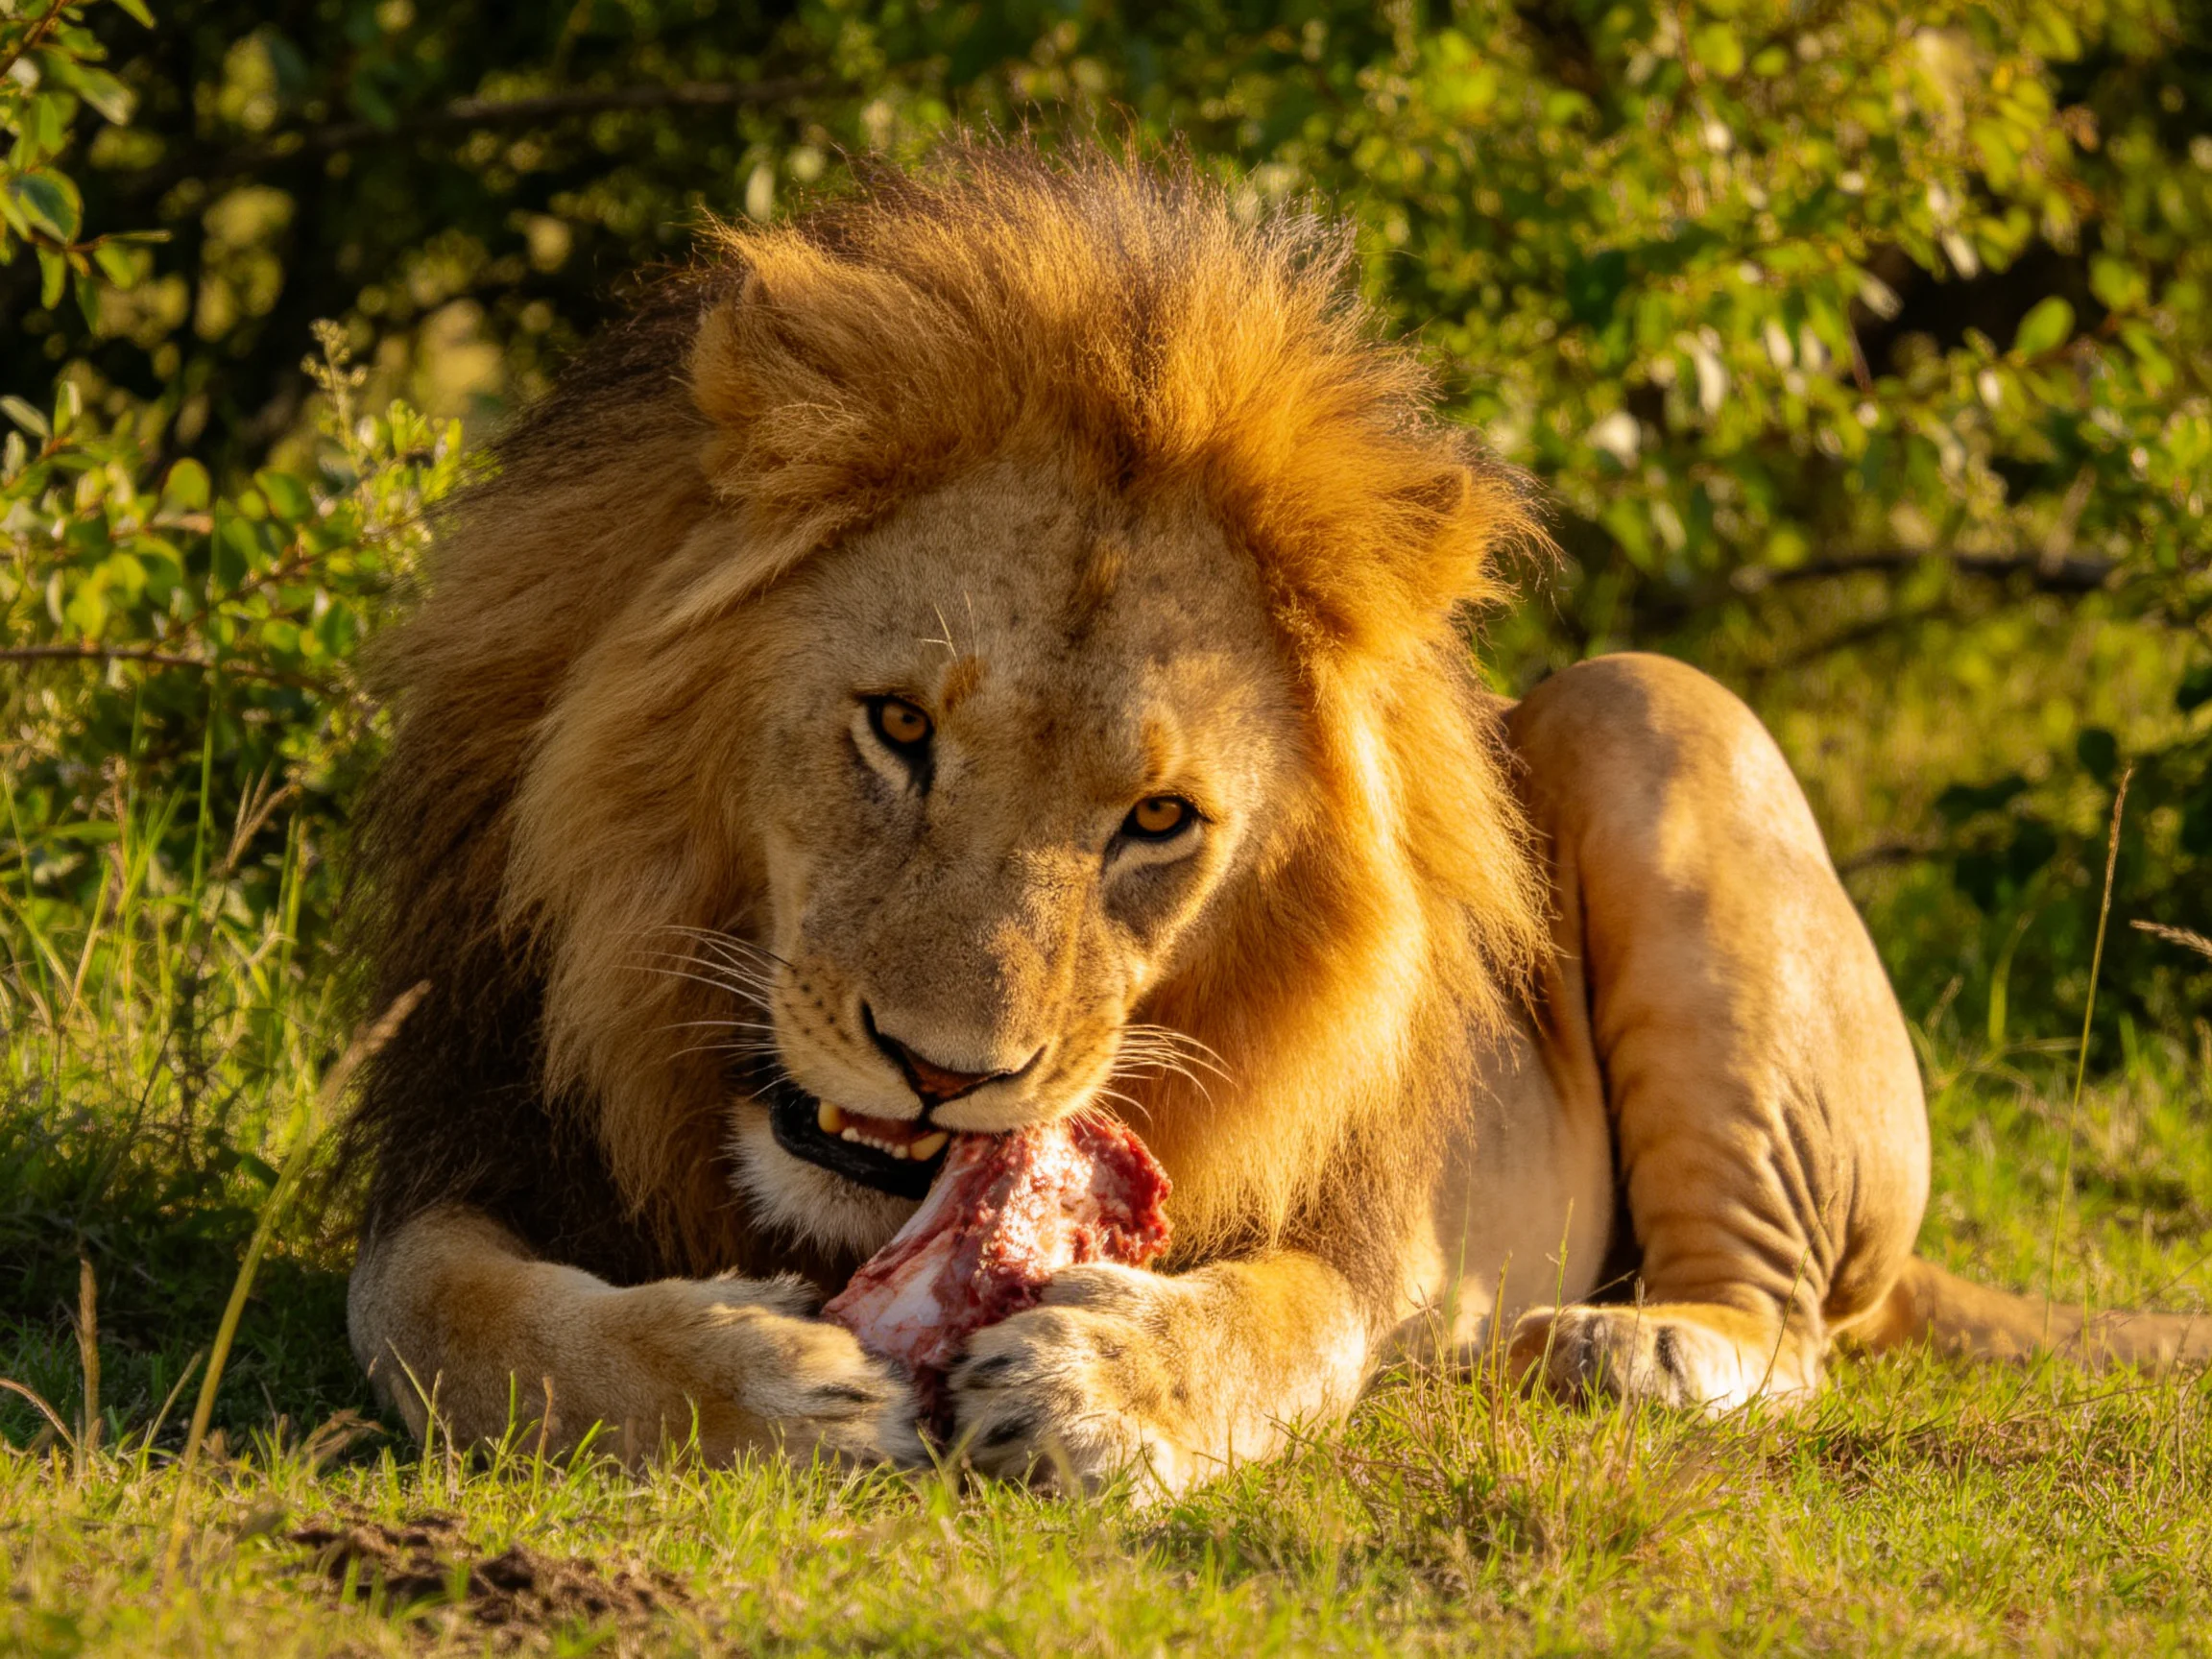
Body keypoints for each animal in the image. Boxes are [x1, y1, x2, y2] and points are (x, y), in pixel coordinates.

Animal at [342, 143, 2210, 1491]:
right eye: (898, 726)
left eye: (1159, 819)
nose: (943, 1073)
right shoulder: (463, 1118)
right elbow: (435, 1311)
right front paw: (759, 1386)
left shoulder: (1365, 1229)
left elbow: (1286, 1317)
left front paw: (1106, 1385)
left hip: (1655, 709)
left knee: (1793, 1312)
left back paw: (1639, 1346)